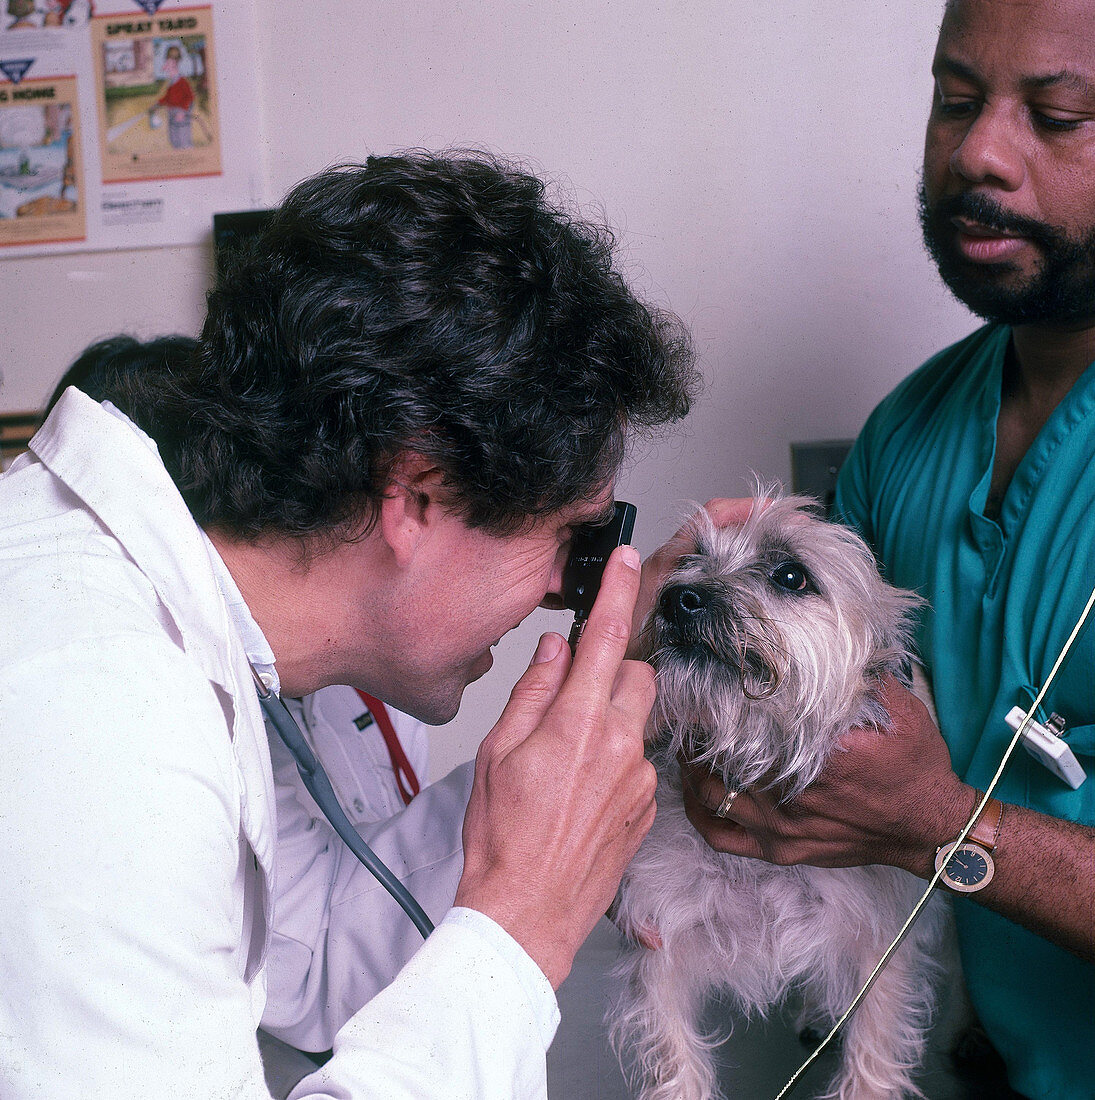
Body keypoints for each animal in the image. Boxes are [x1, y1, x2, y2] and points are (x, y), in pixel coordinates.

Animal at [611, 499, 946, 1100]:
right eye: (692, 559)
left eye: (791, 576)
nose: (677, 596)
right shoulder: (659, 955)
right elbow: (675, 1064)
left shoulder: (881, 961)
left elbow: (870, 1061)